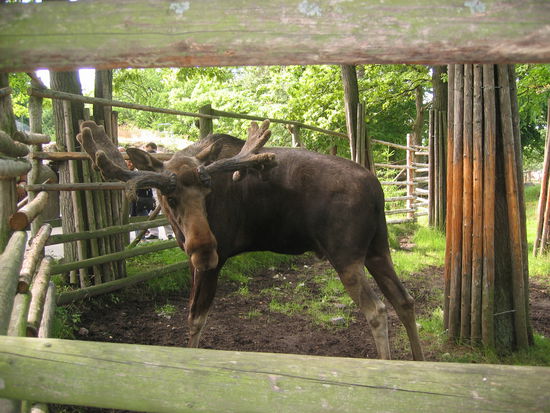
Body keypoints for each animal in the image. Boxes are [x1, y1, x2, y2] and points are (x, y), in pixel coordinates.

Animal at [77, 118, 424, 358]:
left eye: (207, 193)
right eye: (170, 198)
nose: (206, 250)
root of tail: (377, 189)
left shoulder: (212, 265)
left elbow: (195, 319)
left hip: (346, 255)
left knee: (377, 310)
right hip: (377, 249)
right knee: (404, 300)